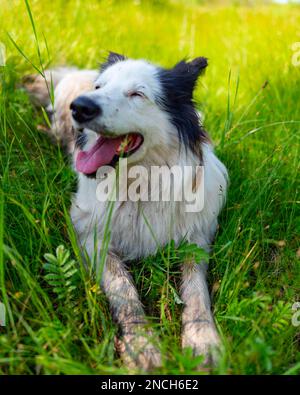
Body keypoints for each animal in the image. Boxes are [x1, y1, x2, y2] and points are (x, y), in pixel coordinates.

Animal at [24, 52, 227, 372]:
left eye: (137, 94)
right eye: (99, 87)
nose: (80, 106)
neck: (141, 183)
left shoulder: (197, 235)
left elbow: (196, 290)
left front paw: (202, 341)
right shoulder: (90, 235)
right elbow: (123, 289)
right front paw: (143, 347)